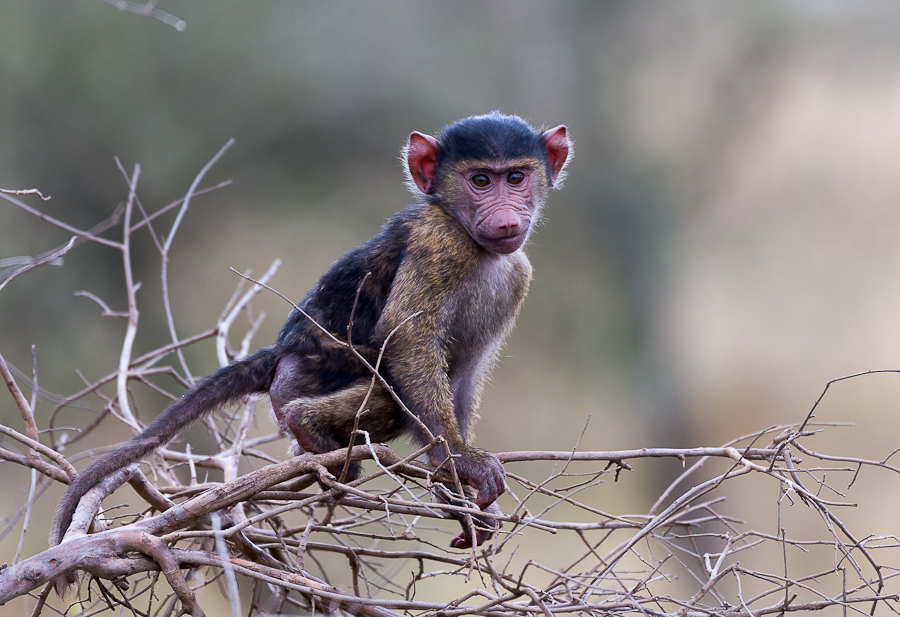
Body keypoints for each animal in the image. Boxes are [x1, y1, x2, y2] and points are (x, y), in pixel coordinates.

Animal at [50, 112, 571, 578]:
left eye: (516, 178)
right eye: (480, 180)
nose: (506, 217)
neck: (473, 241)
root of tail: (282, 351)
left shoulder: (517, 277)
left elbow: (461, 376)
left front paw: (461, 499)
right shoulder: (438, 241)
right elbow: (408, 339)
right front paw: (459, 460)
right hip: (309, 371)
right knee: (385, 396)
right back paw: (309, 427)